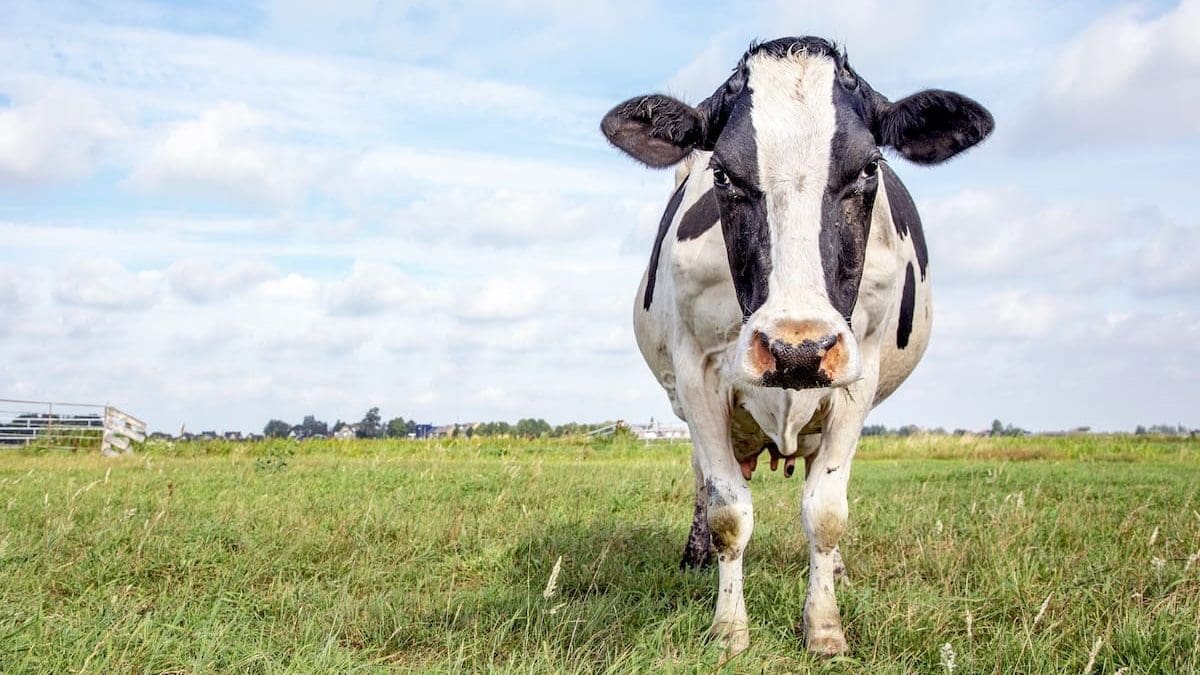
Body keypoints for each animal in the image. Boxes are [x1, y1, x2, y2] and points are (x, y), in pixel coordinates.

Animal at [600, 36, 993, 657]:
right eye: (723, 174)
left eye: (869, 167)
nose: (796, 350)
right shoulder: (697, 372)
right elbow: (728, 511)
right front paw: (729, 630)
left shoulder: (858, 373)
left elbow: (826, 511)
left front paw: (824, 628)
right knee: (703, 476)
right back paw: (696, 555)